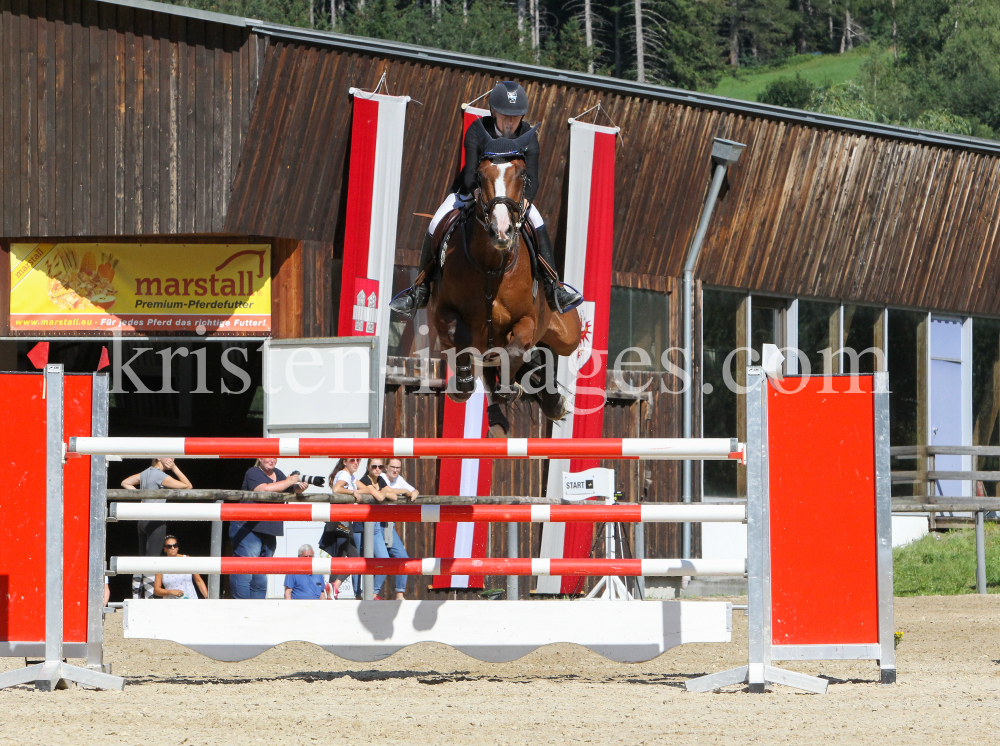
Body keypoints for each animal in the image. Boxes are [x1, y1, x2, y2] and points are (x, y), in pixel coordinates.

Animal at [426, 132, 584, 436]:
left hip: (568, 334)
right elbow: (461, 336)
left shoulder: (527, 321)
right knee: (489, 367)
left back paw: (549, 400)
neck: (491, 266)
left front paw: (511, 385)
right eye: (479, 174)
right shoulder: (443, 313)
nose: (501, 231)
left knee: (543, 352)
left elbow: (516, 348)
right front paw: (463, 385)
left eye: (522, 174)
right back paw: (498, 416)